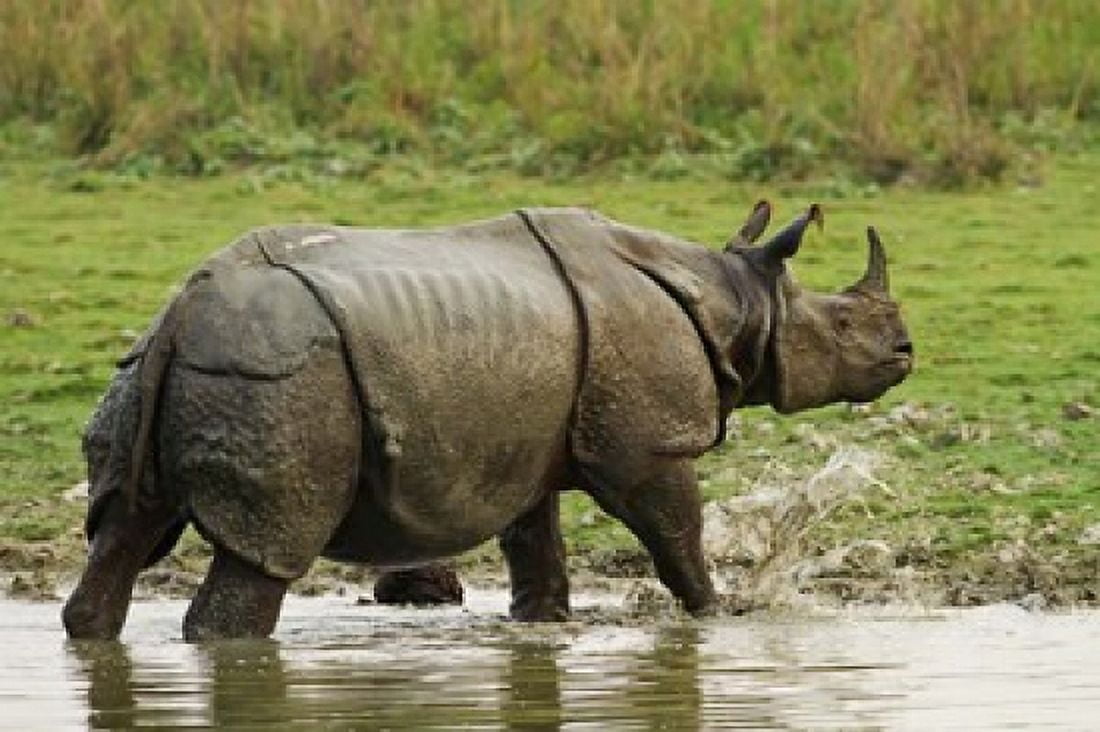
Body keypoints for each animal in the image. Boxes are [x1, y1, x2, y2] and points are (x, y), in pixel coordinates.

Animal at [62, 202, 912, 641]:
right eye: (841, 325)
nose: (905, 351)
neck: (734, 295)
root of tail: (186, 311)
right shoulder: (648, 444)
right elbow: (675, 529)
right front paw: (721, 613)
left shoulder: (524, 444)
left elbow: (533, 539)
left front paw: (542, 626)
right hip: (281, 384)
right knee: (264, 557)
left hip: (164, 375)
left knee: (125, 530)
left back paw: (91, 630)